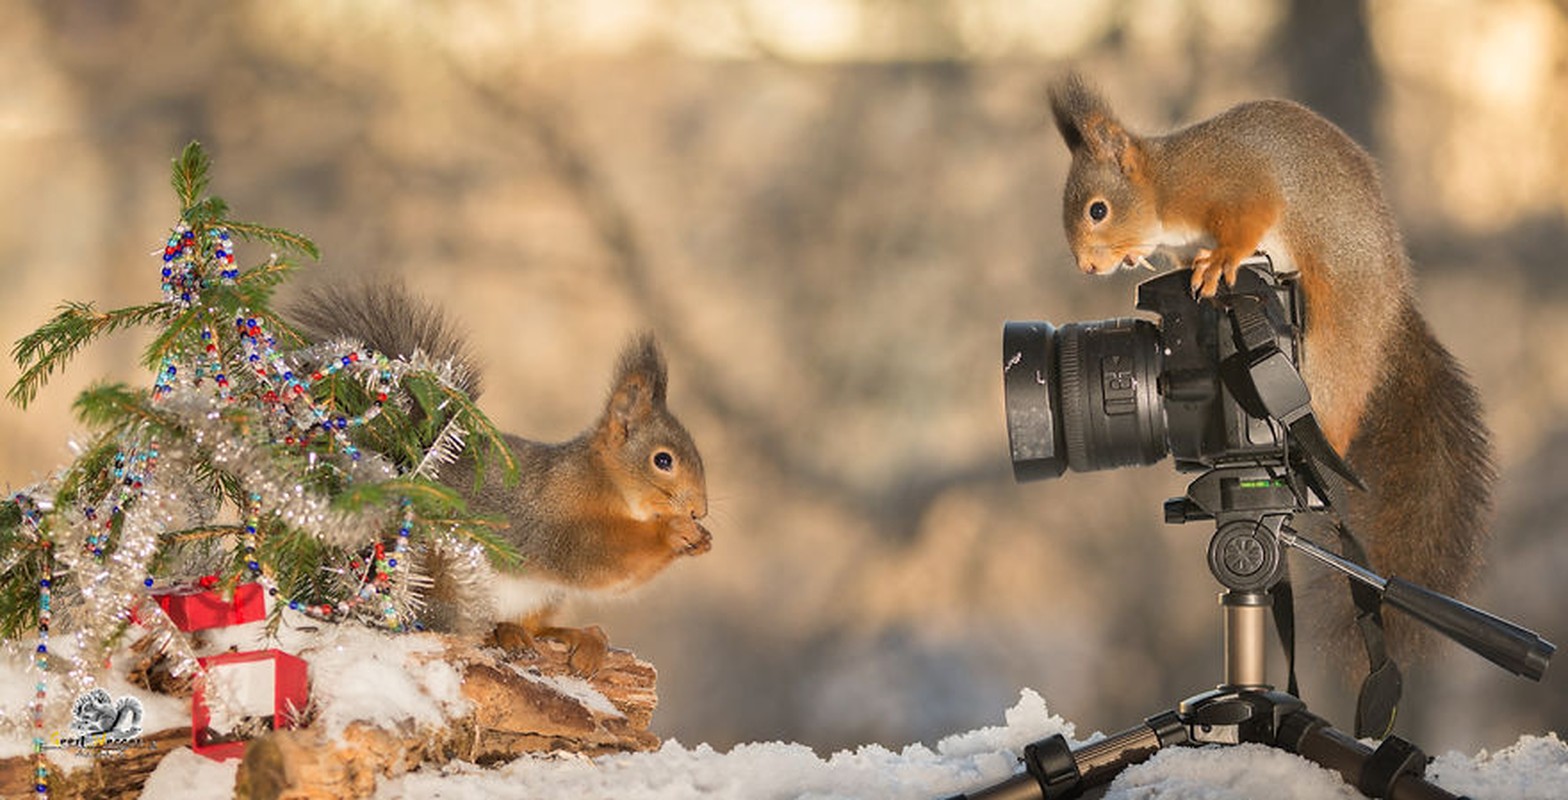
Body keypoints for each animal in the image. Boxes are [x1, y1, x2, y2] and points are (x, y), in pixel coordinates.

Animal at [291, 283, 715, 671]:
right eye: (663, 460)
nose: (700, 511)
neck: (604, 481)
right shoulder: (555, 519)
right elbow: (594, 558)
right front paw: (672, 532)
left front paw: (700, 539)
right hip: (446, 572)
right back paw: (504, 633)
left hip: (544, 596)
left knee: (537, 626)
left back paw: (579, 636)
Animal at [1041, 73, 1492, 661]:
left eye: (1098, 210)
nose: (1089, 267)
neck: (1166, 188)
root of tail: (1393, 310)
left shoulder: (1230, 182)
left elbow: (1247, 219)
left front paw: (1221, 263)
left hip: (1335, 338)